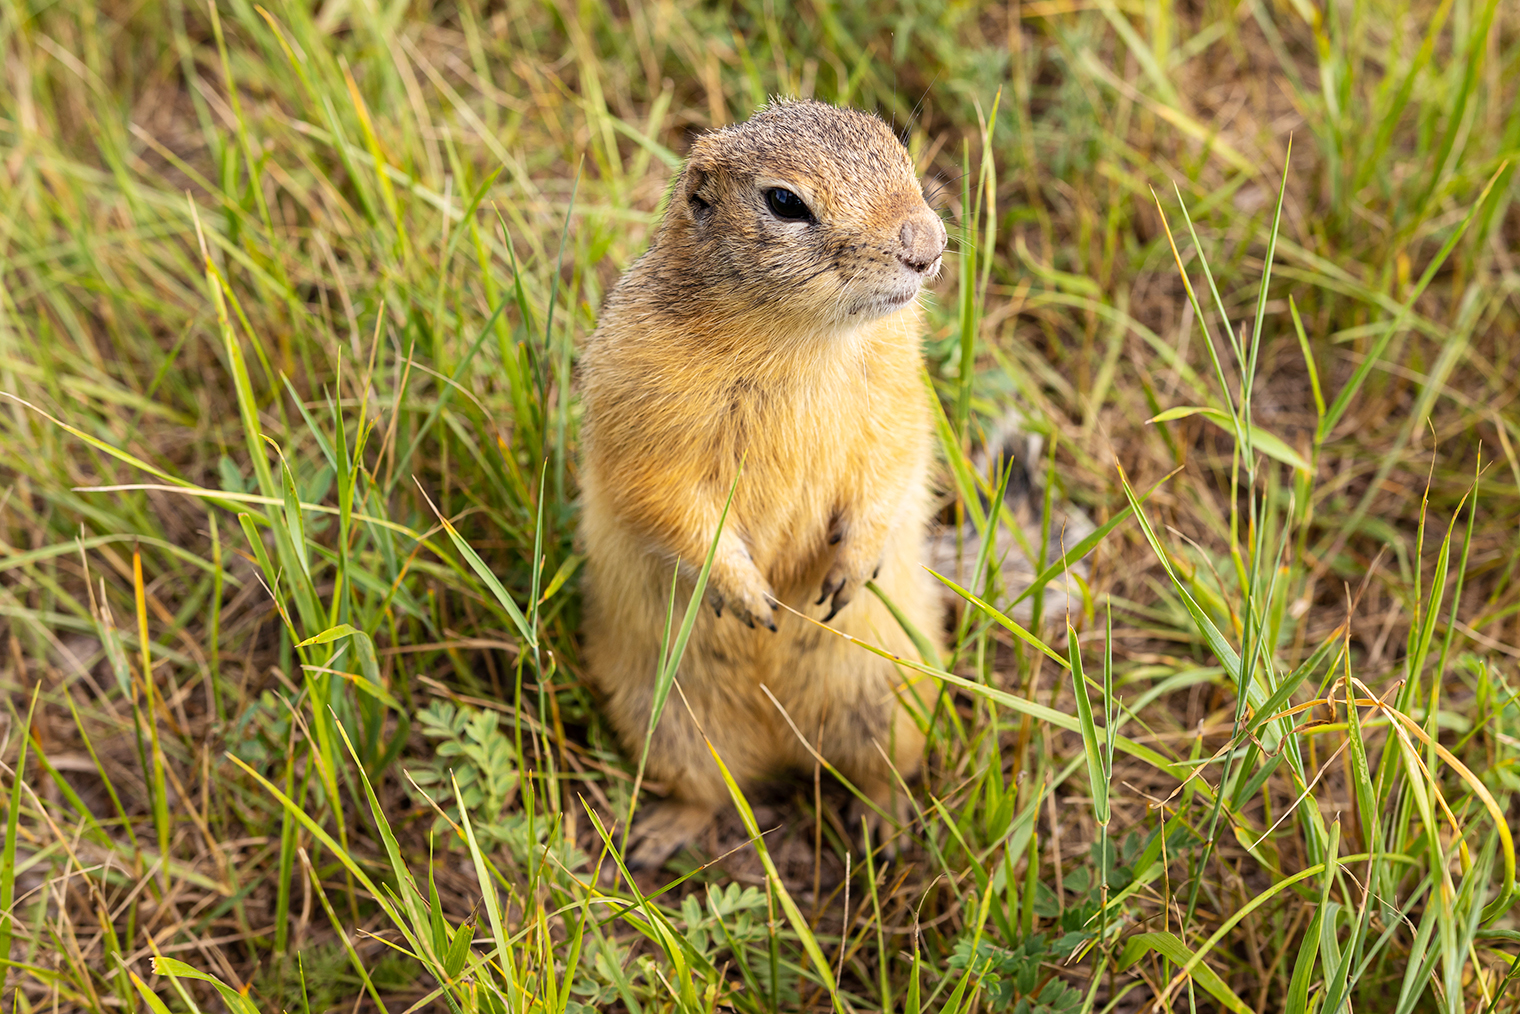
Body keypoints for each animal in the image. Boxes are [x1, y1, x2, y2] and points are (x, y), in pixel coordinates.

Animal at [574, 98, 942, 869]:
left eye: (899, 149)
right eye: (784, 202)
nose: (927, 245)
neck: (800, 339)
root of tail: (781, 743)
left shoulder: (901, 387)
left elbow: (894, 461)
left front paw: (849, 570)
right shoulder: (636, 401)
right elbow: (660, 496)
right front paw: (748, 596)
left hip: (890, 697)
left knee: (877, 771)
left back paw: (885, 824)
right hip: (664, 716)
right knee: (711, 792)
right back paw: (659, 834)